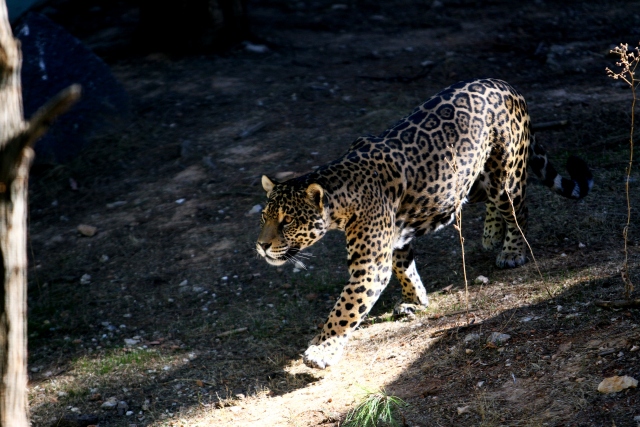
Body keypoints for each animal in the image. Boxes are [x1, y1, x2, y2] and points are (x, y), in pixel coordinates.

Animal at [256, 78, 592, 369]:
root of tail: (506, 85)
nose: (261, 246)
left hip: (505, 175)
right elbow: (404, 268)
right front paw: (416, 301)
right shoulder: (396, 240)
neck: (341, 197)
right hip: (466, 180)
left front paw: (322, 350)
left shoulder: (369, 265)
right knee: (492, 202)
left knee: (519, 210)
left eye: (287, 221)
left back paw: (511, 251)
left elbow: (346, 309)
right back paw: (490, 233)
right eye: (264, 218)